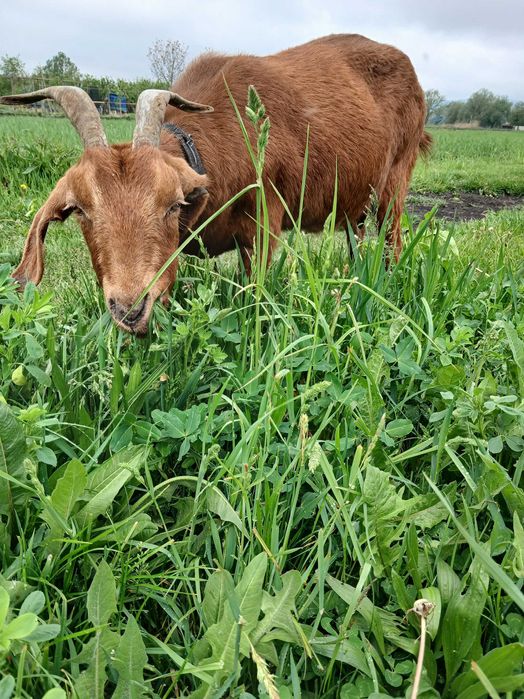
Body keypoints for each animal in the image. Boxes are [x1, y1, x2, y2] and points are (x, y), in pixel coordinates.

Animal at [1, 34, 430, 335]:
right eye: (80, 211)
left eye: (173, 204)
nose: (131, 309)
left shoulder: (264, 221)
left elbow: (254, 291)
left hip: (395, 182)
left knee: (392, 240)